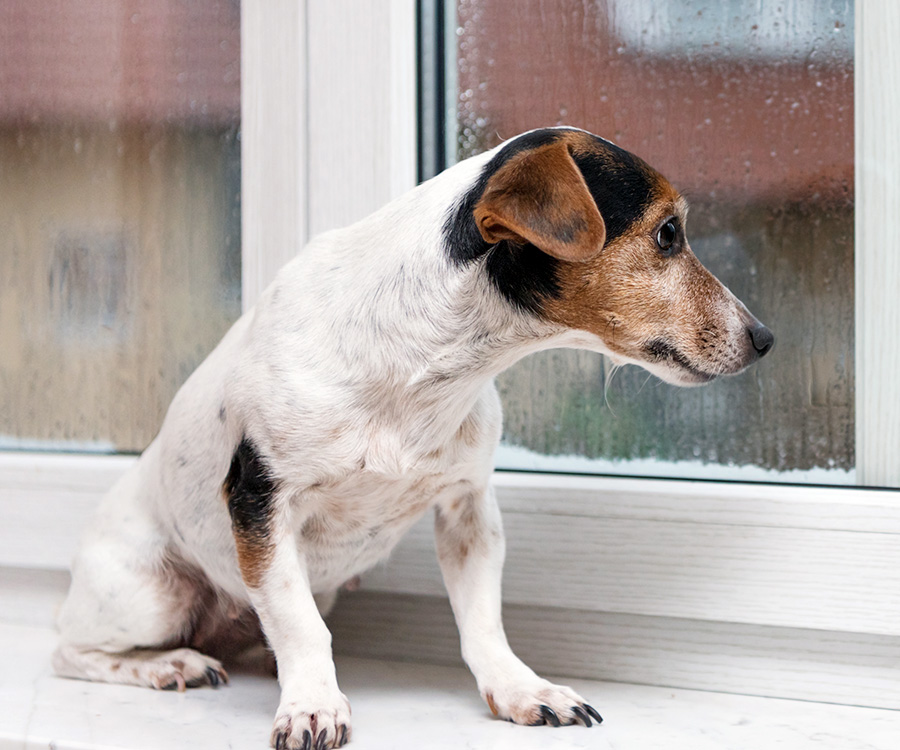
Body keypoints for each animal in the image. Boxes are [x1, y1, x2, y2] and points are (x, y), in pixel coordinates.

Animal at [54, 126, 772, 748]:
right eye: (668, 234)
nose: (765, 338)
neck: (427, 366)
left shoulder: (468, 508)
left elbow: (483, 623)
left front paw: (521, 691)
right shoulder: (261, 503)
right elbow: (300, 625)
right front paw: (313, 705)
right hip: (152, 593)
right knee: (71, 650)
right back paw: (167, 664)